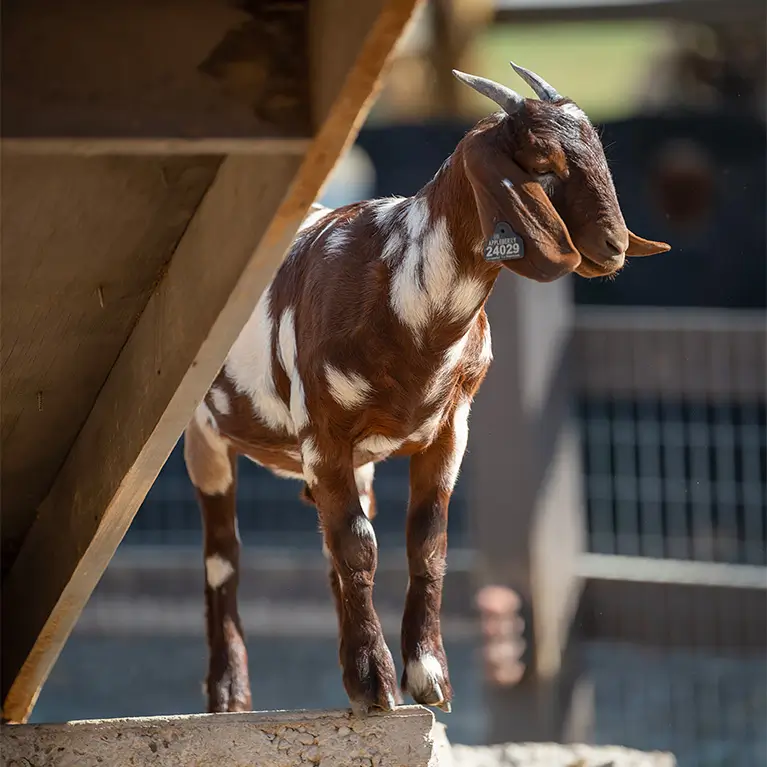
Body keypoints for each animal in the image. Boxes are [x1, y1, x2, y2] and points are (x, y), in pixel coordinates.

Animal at [183, 62, 670, 716]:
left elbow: (426, 543)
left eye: (598, 151)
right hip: (204, 438)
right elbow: (359, 547)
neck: (401, 289)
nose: (614, 246)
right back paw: (229, 694)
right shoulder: (322, 434)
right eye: (542, 163)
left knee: (325, 546)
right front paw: (376, 682)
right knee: (223, 556)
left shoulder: (449, 428)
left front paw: (426, 675)